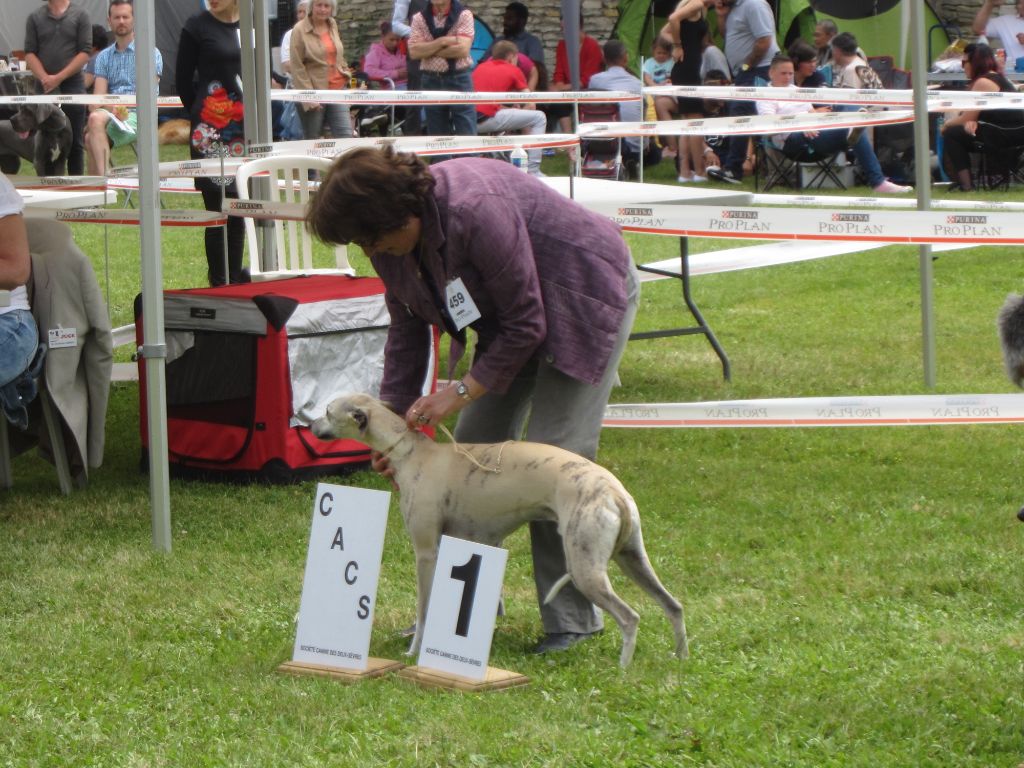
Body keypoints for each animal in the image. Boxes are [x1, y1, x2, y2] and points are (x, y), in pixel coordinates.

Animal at [309, 397, 688, 667]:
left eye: (327, 410)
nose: (308, 424)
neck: (413, 453)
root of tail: (613, 490)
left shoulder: (426, 551)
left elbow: (424, 606)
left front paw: (414, 651)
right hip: (632, 558)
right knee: (674, 606)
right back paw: (680, 658)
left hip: (586, 568)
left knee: (630, 617)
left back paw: (623, 669)